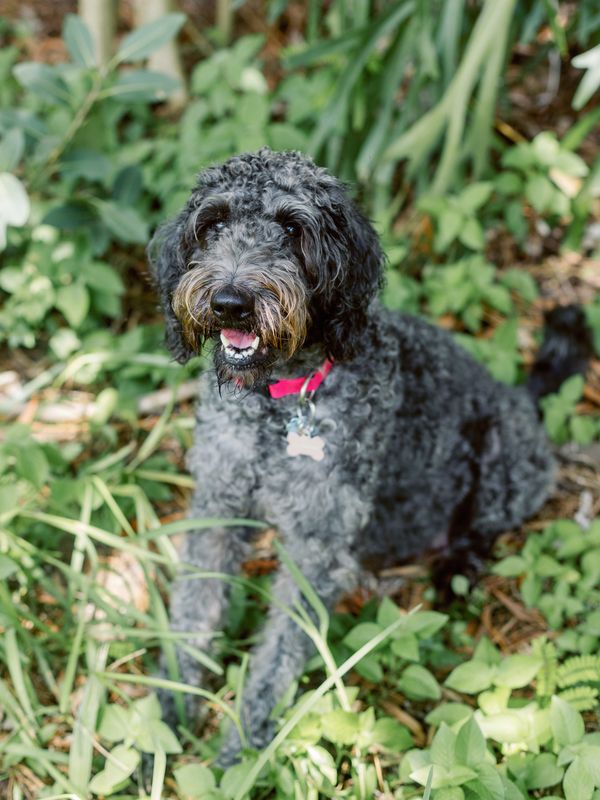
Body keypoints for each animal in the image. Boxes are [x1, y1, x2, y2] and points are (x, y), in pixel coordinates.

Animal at [150, 145, 592, 764]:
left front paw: (246, 746)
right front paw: (168, 717)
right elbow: (194, 612)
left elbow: (280, 650)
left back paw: (455, 568)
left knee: (483, 526)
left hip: (507, 457)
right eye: (212, 224)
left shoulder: (316, 546)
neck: (278, 406)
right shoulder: (217, 509)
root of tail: (519, 397)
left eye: (293, 229)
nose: (231, 302)